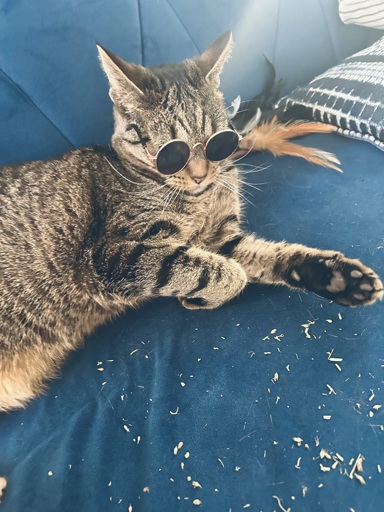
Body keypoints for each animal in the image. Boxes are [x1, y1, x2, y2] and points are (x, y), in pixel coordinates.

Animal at [0, 31, 382, 412]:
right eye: (170, 152)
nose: (200, 174)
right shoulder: (110, 256)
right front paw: (201, 296)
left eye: (221, 141)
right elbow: (226, 273)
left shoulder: (220, 238)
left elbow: (267, 257)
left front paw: (336, 278)